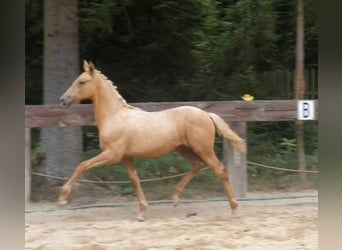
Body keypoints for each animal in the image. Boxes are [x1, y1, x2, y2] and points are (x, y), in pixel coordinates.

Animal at [58, 60, 246, 221]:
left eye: (82, 82)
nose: (63, 100)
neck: (115, 117)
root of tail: (207, 114)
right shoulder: (127, 157)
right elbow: (134, 180)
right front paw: (142, 213)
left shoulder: (112, 155)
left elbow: (82, 165)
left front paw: (62, 199)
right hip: (184, 149)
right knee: (198, 165)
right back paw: (175, 198)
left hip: (203, 149)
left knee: (220, 170)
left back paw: (235, 209)